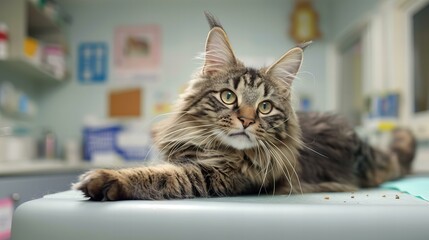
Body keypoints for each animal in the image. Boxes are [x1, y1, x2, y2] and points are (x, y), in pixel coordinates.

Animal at [73, 12, 414, 201]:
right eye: (228, 97)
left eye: (264, 107)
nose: (247, 121)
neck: (210, 147)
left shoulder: (214, 178)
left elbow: (159, 176)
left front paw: (106, 179)